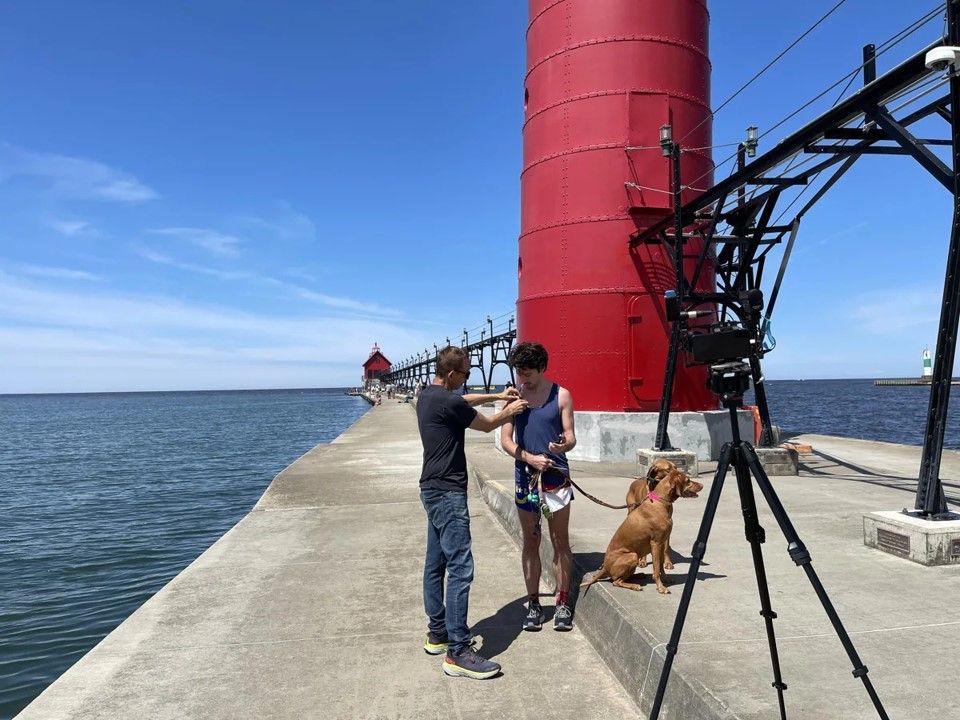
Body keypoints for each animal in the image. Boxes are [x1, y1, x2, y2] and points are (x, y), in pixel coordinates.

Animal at [576, 464, 704, 592]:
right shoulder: (656, 543)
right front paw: (660, 587)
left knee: (620, 578)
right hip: (632, 555)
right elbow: (656, 568)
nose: (702, 485)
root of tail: (604, 567)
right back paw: (634, 585)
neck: (660, 502)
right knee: (616, 581)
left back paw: (638, 576)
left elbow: (661, 566)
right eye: (688, 480)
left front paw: (665, 579)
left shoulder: (662, 542)